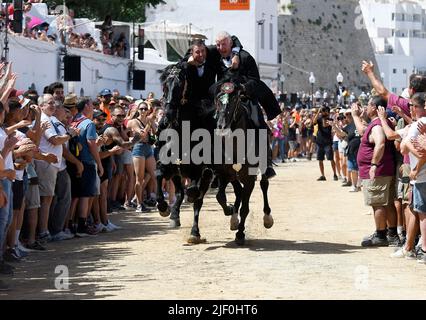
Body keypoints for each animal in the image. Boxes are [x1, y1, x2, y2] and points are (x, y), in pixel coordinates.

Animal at [212, 74, 272, 245]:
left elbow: (245, 207)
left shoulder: (249, 178)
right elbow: (220, 196)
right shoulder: (224, 174)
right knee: (238, 190)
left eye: (235, 99)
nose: (221, 127)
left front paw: (240, 234)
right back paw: (234, 218)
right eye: (218, 99)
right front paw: (231, 211)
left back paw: (267, 217)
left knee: (264, 184)